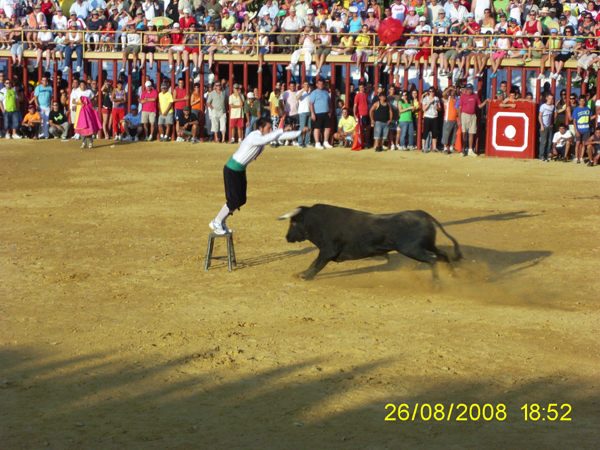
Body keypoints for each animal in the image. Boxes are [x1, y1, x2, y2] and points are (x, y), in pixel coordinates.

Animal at [278, 205, 464, 282]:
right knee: (443, 255)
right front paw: (302, 274)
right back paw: (454, 277)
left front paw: (306, 277)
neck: (318, 221)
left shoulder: (328, 251)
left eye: (293, 223)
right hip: (427, 245)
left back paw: (437, 284)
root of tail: (422, 214)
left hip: (413, 249)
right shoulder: (326, 252)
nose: (287, 237)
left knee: (433, 259)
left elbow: (316, 265)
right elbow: (313, 263)